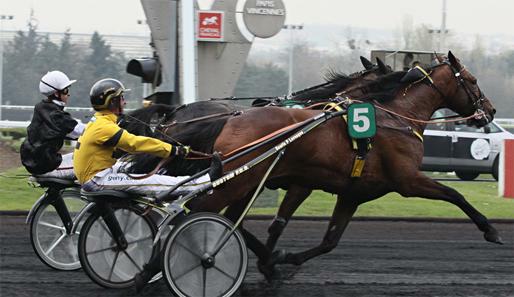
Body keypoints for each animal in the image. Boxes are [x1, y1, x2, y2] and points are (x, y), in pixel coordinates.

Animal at [163, 51, 496, 276]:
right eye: (472, 80)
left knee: (225, 218)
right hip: (239, 181)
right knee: (199, 211)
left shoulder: (352, 193)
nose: (490, 111)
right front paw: (490, 229)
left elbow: (329, 241)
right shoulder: (407, 181)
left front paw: (281, 261)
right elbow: (454, 194)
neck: (396, 118)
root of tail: (230, 119)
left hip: (245, 182)